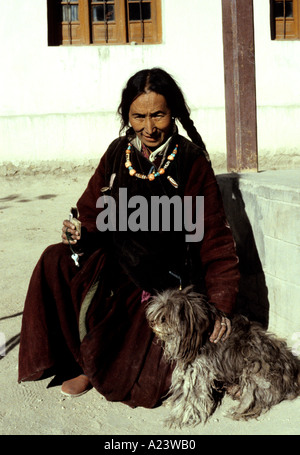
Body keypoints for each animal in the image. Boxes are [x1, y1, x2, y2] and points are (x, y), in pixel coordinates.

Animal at [146, 286, 300, 430]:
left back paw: (239, 411)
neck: (200, 335)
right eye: (157, 313)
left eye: (164, 317)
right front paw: (171, 402)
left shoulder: (198, 372)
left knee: (255, 401)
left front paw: (177, 419)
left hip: (256, 371)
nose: (152, 322)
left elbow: (190, 399)